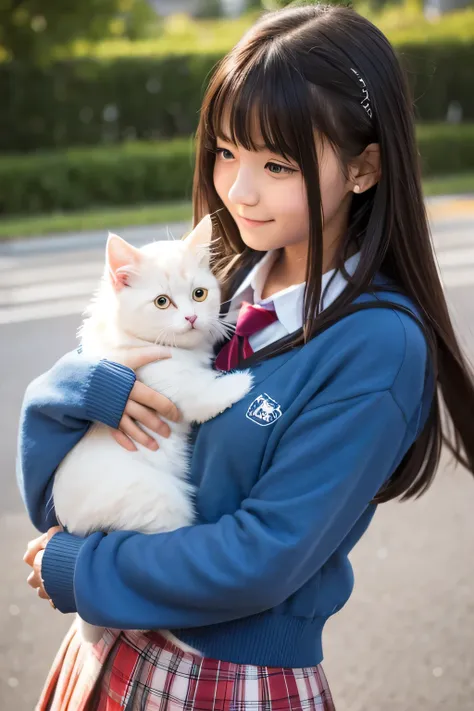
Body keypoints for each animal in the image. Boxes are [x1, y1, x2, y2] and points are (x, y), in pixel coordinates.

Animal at [51, 216, 252, 652]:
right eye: (162, 302)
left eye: (199, 294)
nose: (192, 318)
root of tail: (78, 528)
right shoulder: (175, 391)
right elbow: (208, 393)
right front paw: (242, 383)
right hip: (164, 505)